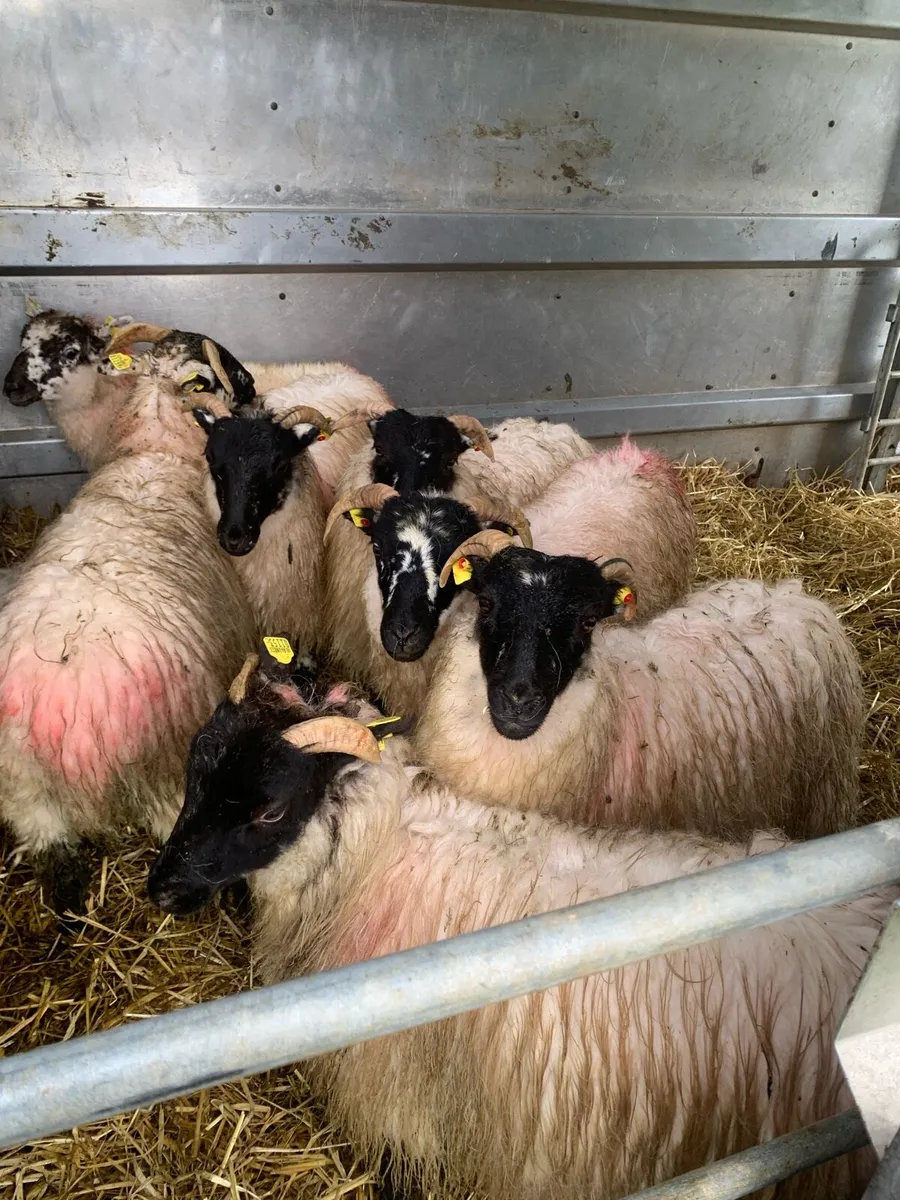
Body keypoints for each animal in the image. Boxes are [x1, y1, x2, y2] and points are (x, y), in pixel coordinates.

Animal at [0, 330, 256, 921]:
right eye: (217, 375)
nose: (254, 385)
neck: (153, 452)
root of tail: (62, 711)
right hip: (171, 771)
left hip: (24, 792)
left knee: (58, 866)